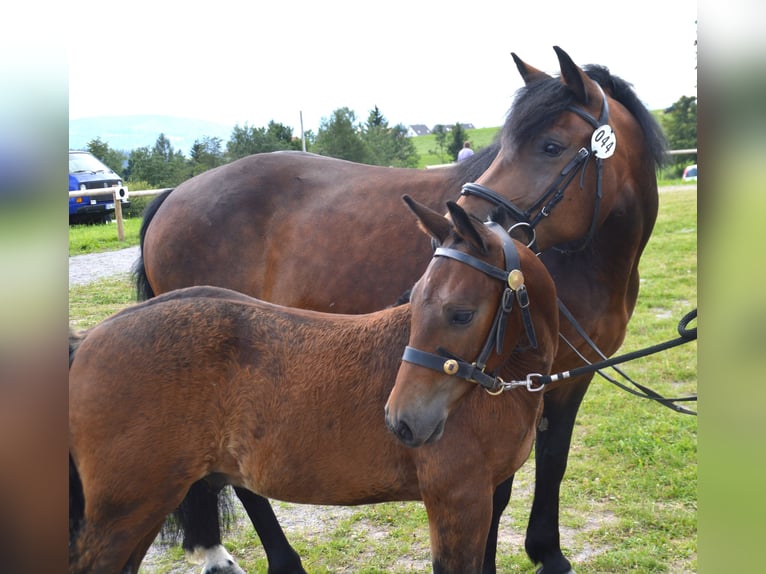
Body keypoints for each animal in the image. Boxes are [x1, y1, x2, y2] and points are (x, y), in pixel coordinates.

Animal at [69, 199, 560, 574]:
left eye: (460, 313)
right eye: (415, 299)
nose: (402, 421)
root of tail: (87, 341)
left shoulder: (488, 495)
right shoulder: (456, 502)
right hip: (124, 514)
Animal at [134, 46, 664, 574]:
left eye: (551, 147)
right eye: (509, 145)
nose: (460, 224)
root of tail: (173, 196)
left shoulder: (569, 377)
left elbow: (553, 460)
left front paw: (548, 553)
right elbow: (500, 490)